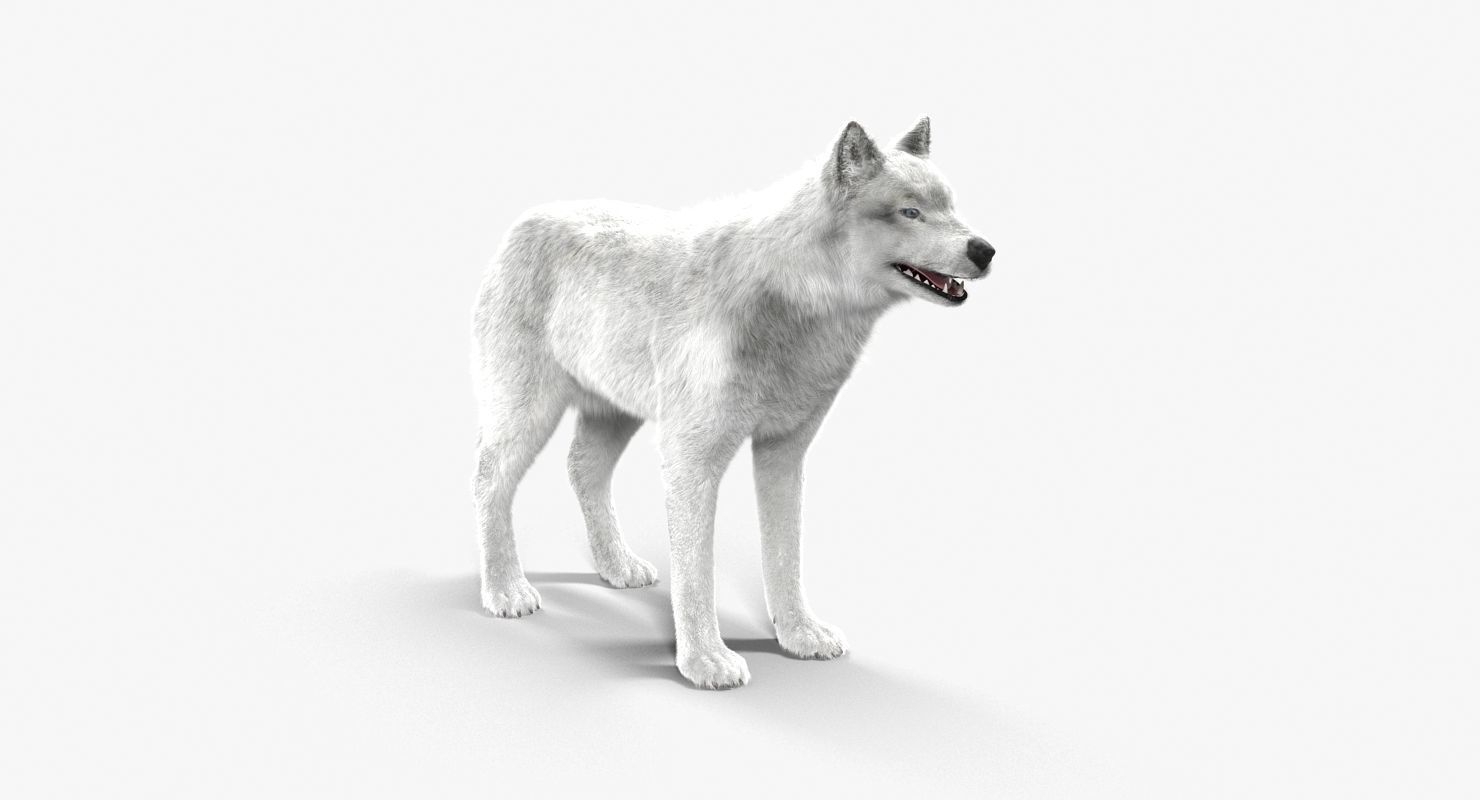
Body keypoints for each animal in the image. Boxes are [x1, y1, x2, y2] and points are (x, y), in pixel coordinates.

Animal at [471, 118, 994, 688]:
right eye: (910, 212)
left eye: (951, 206)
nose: (986, 250)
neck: (794, 299)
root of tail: (525, 218)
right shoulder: (691, 458)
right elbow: (697, 571)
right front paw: (705, 662)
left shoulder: (784, 452)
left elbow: (785, 556)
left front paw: (799, 636)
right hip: (529, 412)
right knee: (489, 480)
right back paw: (505, 592)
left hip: (614, 413)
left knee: (582, 469)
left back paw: (618, 568)